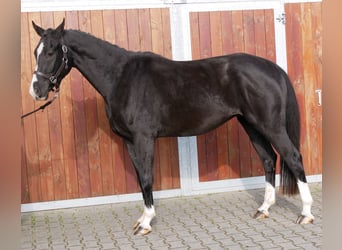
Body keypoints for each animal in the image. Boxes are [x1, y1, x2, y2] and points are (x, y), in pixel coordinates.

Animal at [28, 19, 314, 234]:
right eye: (35, 52)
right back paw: (263, 209)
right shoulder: (130, 141)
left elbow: (147, 177)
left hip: (270, 125)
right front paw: (143, 218)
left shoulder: (144, 138)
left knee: (293, 157)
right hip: (251, 125)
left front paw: (146, 223)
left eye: (52, 52)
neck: (121, 78)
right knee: (268, 159)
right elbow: (141, 179)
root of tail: (272, 68)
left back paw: (306, 213)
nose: (37, 90)